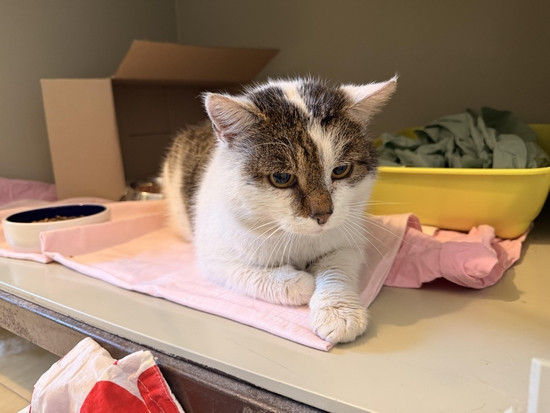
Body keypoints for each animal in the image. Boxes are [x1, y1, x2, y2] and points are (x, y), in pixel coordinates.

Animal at [162, 76, 397, 343]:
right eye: (282, 178)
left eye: (340, 170)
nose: (323, 215)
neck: (299, 239)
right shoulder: (216, 258)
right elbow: (256, 275)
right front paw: (300, 281)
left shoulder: (347, 242)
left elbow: (336, 270)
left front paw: (338, 312)